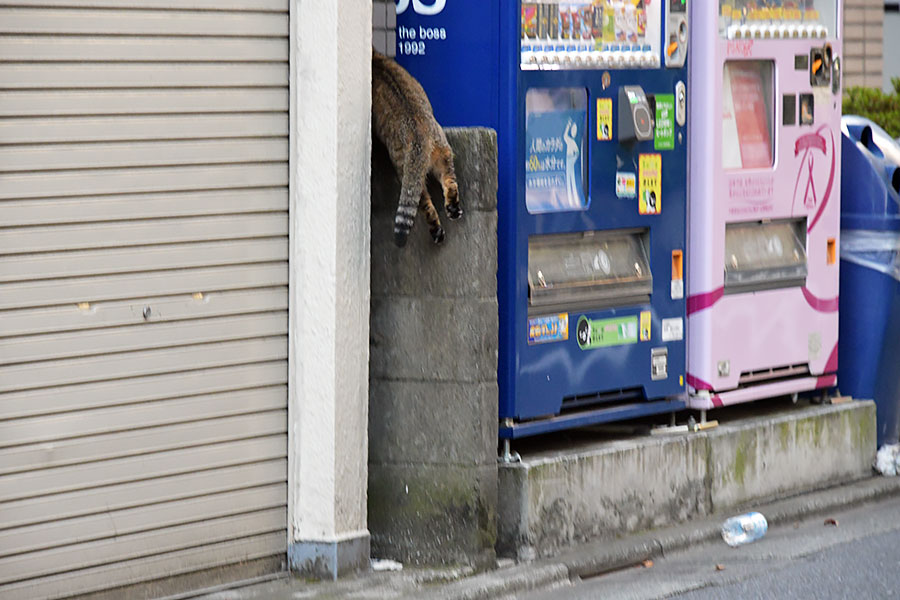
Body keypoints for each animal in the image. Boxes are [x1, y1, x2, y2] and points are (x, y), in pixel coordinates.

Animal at [370, 48, 460, 247]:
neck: (375, 60)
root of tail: (418, 130)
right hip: (443, 153)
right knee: (450, 182)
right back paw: (452, 209)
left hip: (404, 170)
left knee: (424, 203)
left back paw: (435, 229)